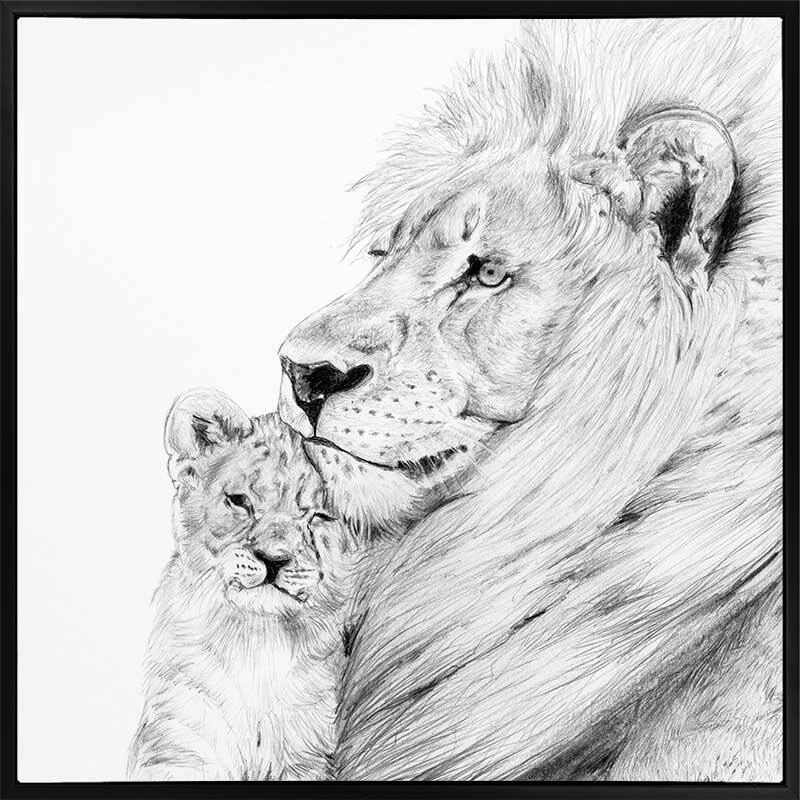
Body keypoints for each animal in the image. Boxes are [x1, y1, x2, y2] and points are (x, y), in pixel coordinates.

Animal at [128, 391, 354, 781]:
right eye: (240, 501)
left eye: (319, 517)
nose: (273, 559)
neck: (257, 642)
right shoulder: (178, 741)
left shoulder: (308, 755)